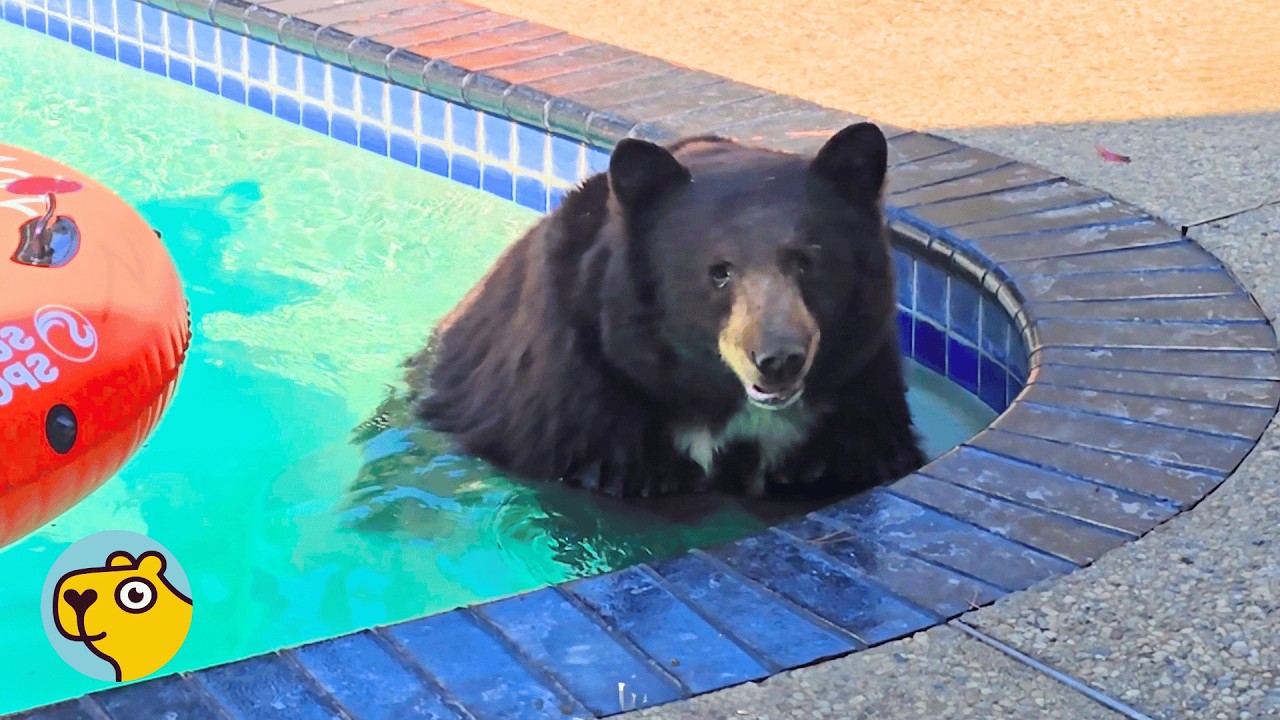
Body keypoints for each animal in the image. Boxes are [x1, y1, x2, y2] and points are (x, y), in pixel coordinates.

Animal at [405, 121, 925, 500]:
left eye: (806, 261)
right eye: (719, 272)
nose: (779, 359)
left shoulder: (863, 380)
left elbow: (861, 455)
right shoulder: (584, 392)